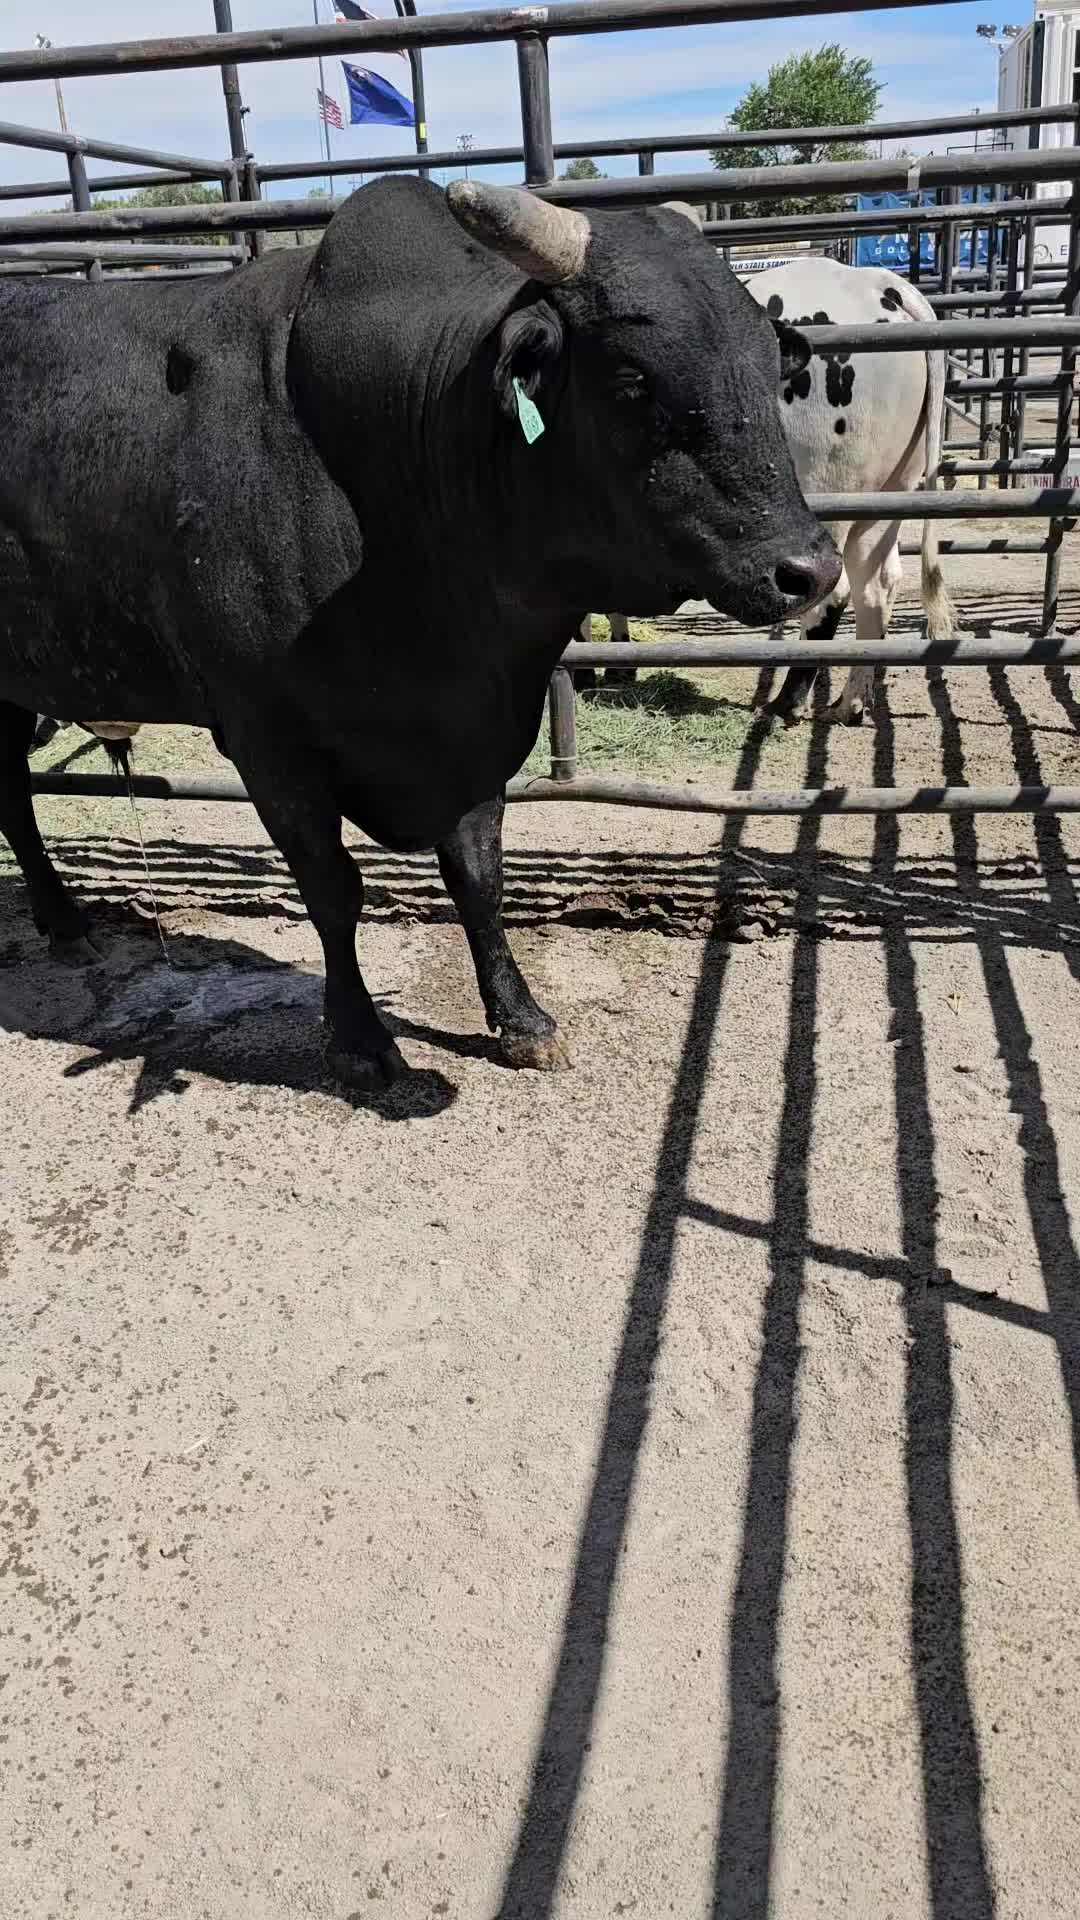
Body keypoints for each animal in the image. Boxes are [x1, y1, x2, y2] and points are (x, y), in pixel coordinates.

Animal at [0, 177, 838, 1090]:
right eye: (631, 381)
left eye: (768, 364)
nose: (808, 569)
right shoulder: (268, 738)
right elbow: (332, 887)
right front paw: (360, 1037)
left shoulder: (472, 732)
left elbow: (477, 877)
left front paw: (520, 1017)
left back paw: (65, 922)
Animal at [586, 254, 955, 725]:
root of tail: (879, 284)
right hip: (891, 491)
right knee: (878, 585)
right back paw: (849, 703)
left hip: (826, 488)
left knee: (832, 592)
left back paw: (786, 702)